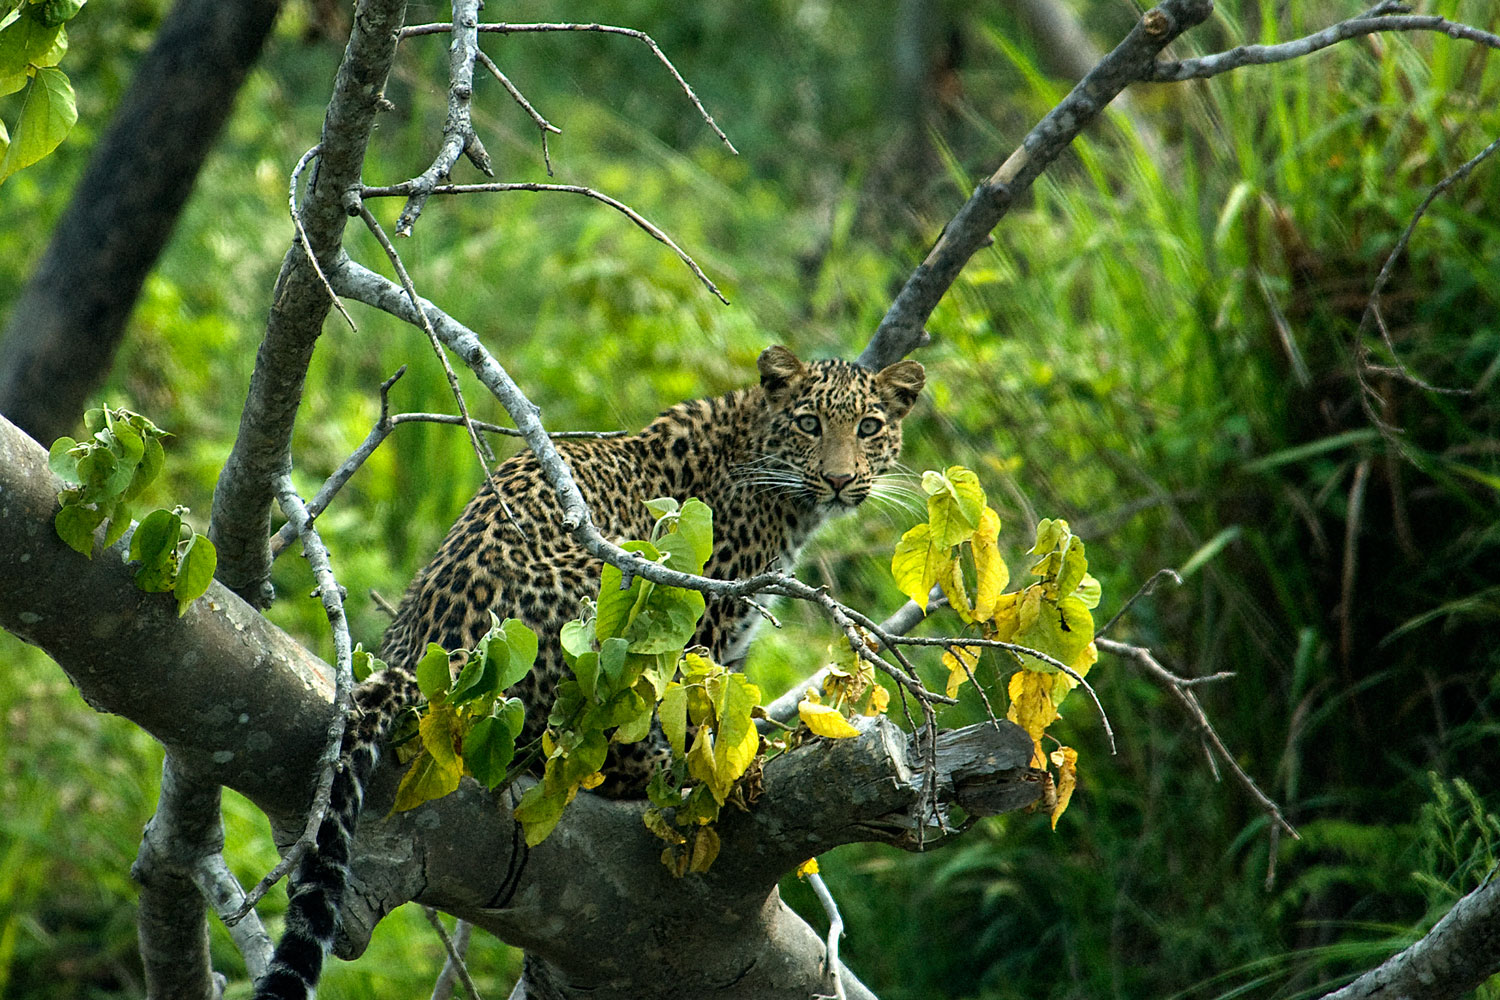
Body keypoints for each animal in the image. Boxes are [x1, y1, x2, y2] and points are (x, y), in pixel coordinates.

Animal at [252, 345, 925, 999]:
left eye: (869, 428)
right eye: (809, 424)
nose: (839, 479)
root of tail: (439, 654)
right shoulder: (711, 617)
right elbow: (698, 710)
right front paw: (717, 770)